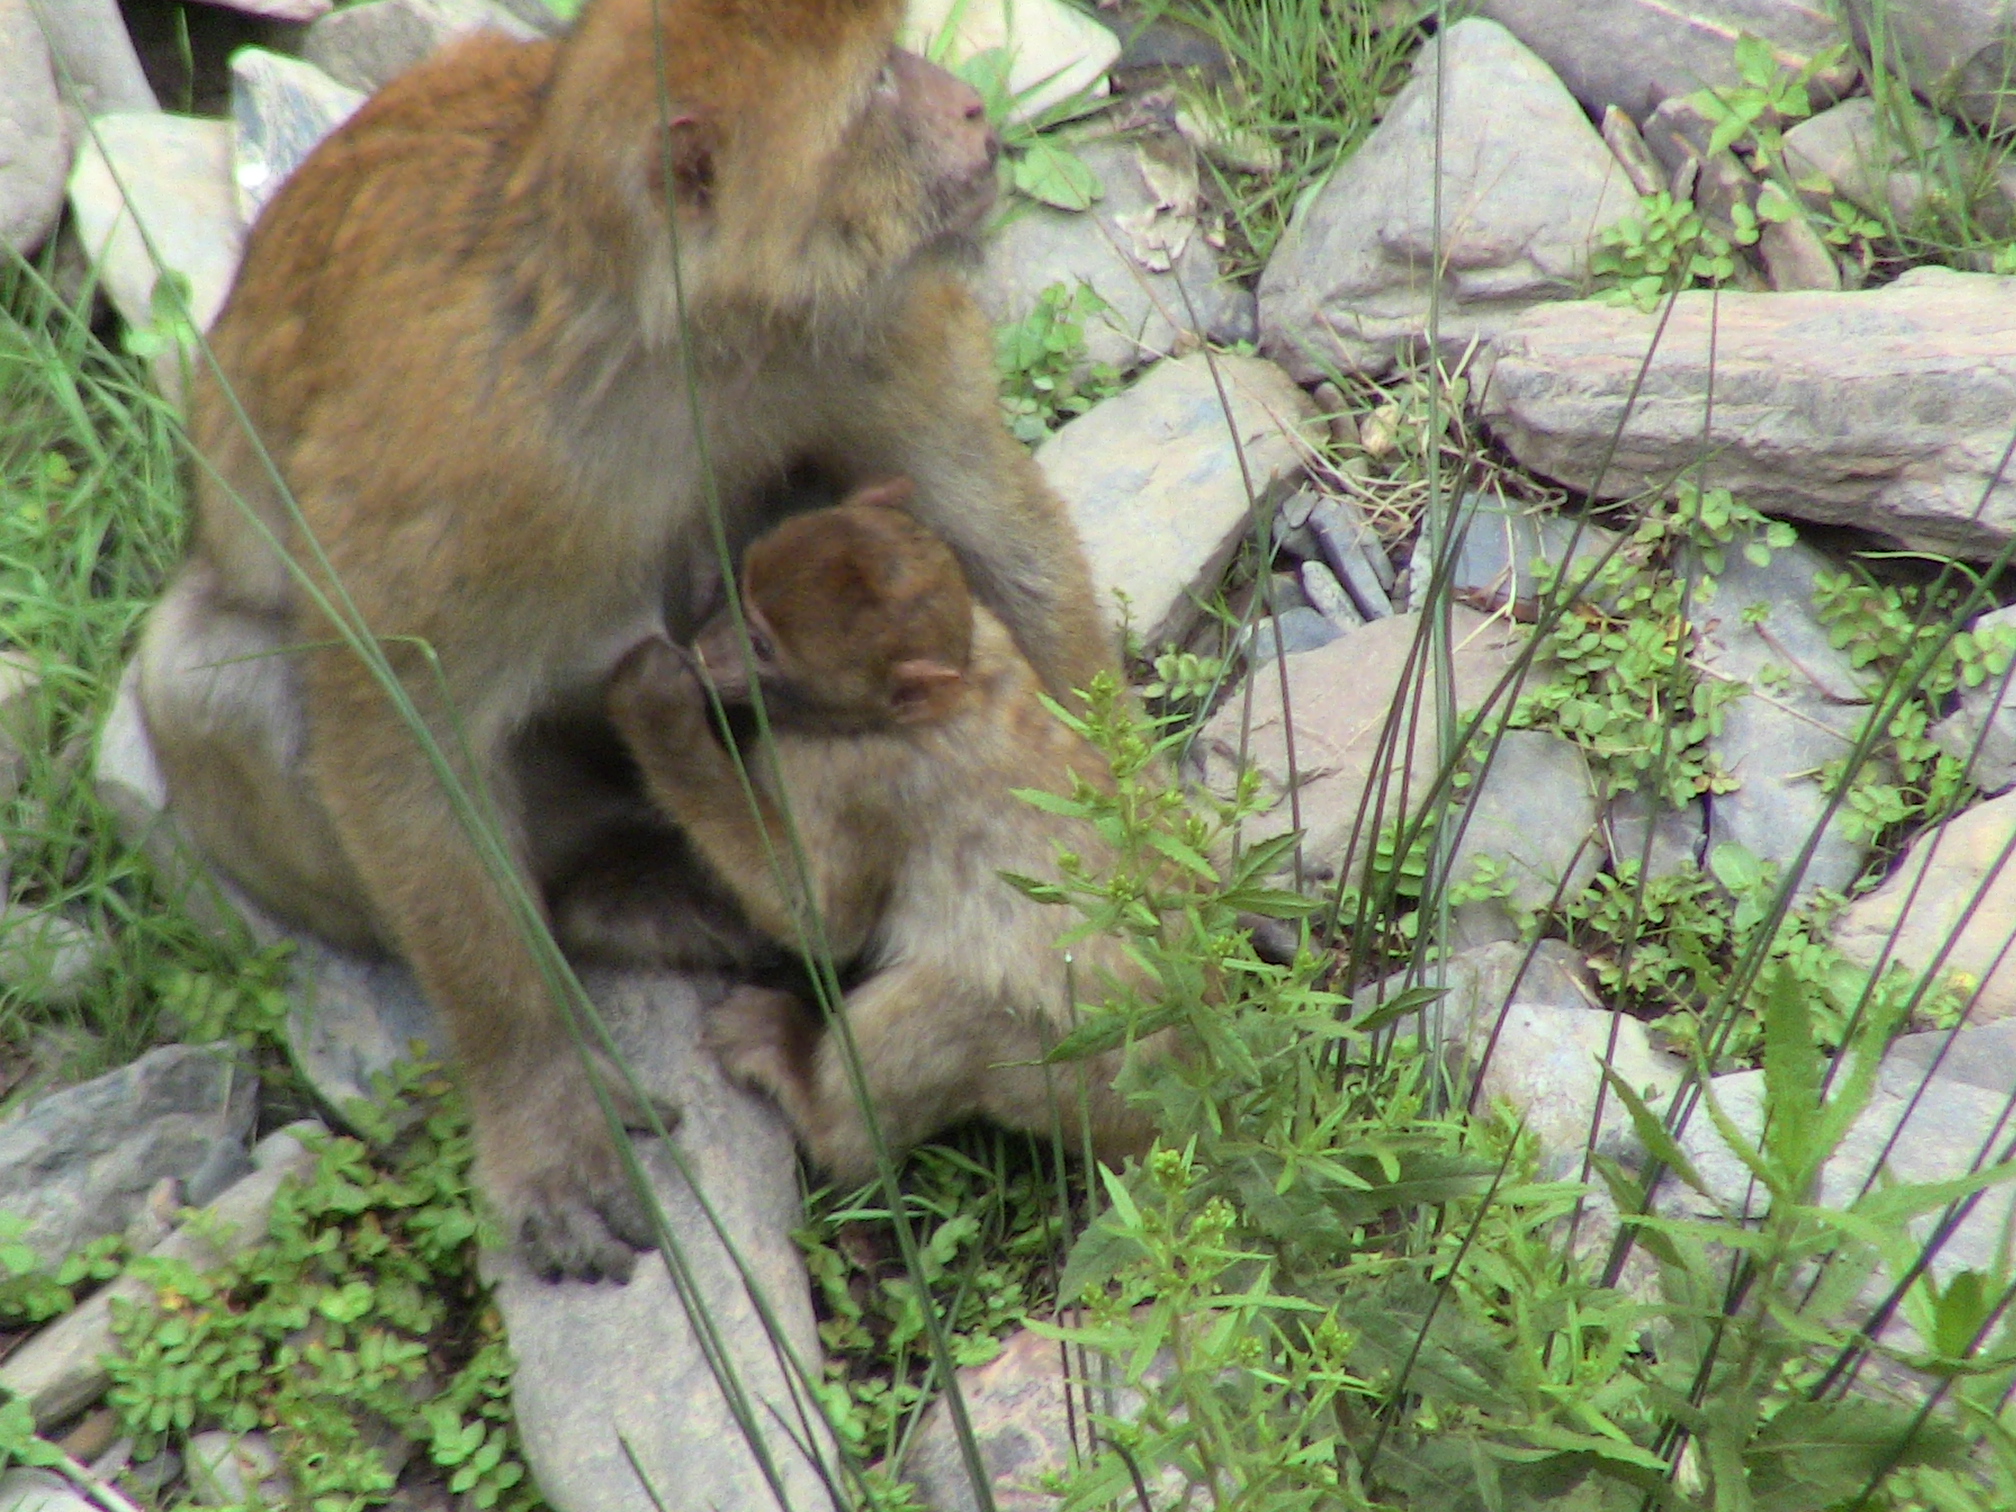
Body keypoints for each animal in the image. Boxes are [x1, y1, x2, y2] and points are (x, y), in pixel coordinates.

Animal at [605, 486, 1165, 1180]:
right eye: (742, 590)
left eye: (761, 645)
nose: (709, 648)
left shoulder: (845, 776)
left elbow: (821, 921)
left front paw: (658, 711)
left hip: (1067, 1067)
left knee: (950, 1002)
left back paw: (817, 1107)